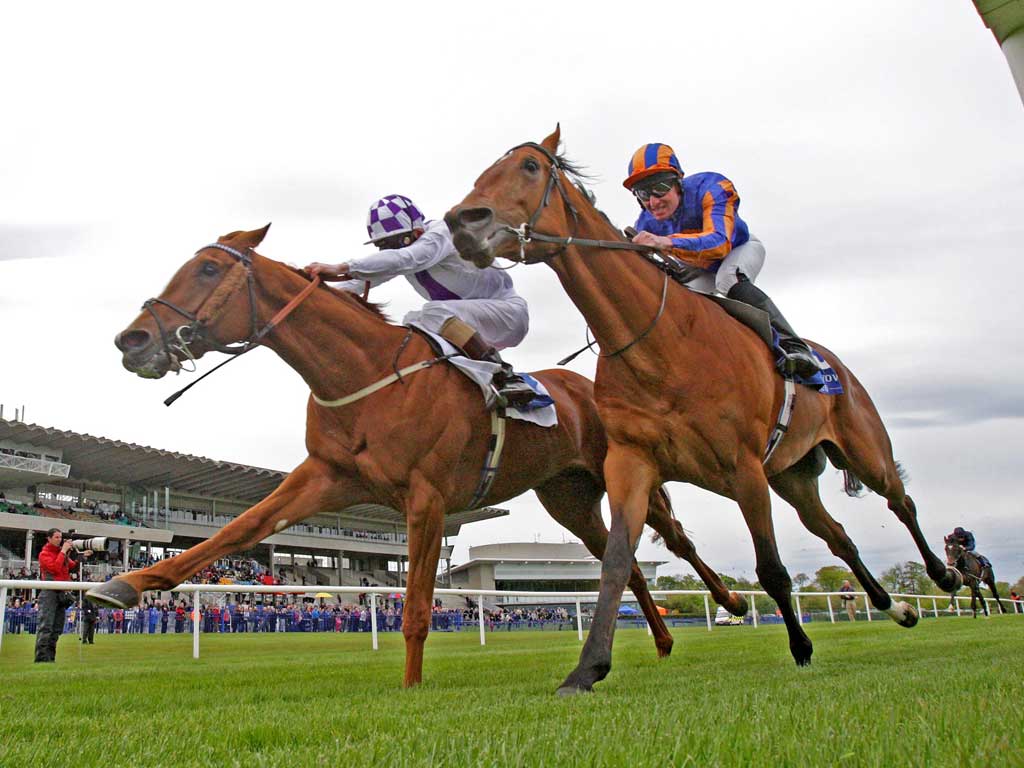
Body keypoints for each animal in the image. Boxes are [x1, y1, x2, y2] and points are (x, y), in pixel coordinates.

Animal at [86, 225, 745, 688]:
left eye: (208, 268)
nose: (132, 339)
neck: (367, 375)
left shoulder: (426, 497)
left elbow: (419, 606)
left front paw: (410, 686)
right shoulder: (327, 476)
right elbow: (239, 528)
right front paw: (124, 583)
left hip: (625, 471)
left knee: (674, 539)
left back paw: (734, 601)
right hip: (568, 498)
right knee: (623, 561)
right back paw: (661, 642)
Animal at [448, 128, 958, 696]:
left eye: (531, 167)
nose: (462, 221)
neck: (660, 344)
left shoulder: (744, 467)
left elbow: (771, 569)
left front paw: (801, 647)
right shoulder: (631, 462)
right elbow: (617, 563)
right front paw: (587, 669)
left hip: (863, 449)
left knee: (900, 501)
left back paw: (944, 576)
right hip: (792, 477)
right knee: (837, 535)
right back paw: (898, 609)